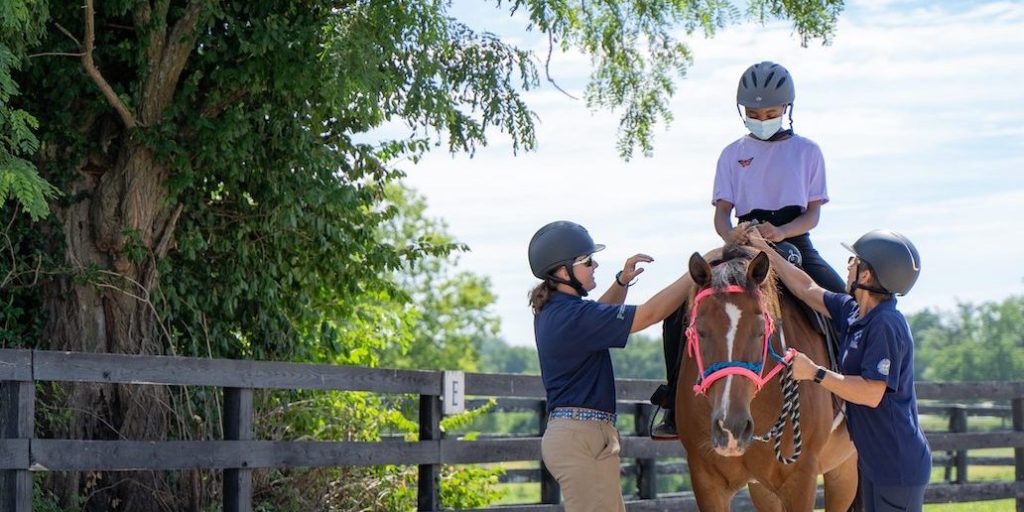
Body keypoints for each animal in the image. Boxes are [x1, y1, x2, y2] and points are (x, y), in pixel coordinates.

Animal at [671, 245, 864, 509]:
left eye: (762, 331)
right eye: (699, 331)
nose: (731, 428)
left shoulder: (801, 479)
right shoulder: (707, 482)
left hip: (843, 472)